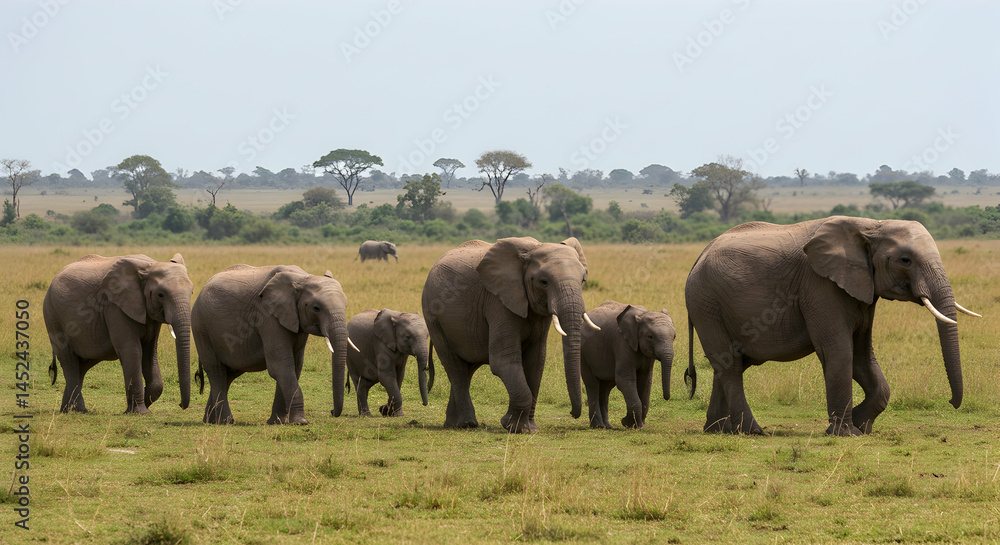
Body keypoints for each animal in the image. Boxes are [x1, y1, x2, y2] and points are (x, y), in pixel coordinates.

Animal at [43, 253, 193, 414]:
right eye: (160, 295)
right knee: (69, 361)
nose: (180, 405)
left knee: (81, 366)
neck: (150, 266)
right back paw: (76, 411)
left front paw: (139, 405)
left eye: (191, 292)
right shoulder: (114, 306)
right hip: (53, 316)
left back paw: (71, 410)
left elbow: (150, 353)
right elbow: (132, 351)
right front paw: (139, 412)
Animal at [192, 265, 350, 425]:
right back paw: (226, 421)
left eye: (345, 306)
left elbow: (295, 365)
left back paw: (210, 421)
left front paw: (277, 422)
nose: (332, 411)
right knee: (216, 370)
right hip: (201, 328)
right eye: (316, 308)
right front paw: (300, 422)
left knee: (228, 375)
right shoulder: (268, 316)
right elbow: (280, 366)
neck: (303, 278)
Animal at [421, 236, 600, 433]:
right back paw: (467, 424)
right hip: (433, 317)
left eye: (583, 280)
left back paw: (453, 424)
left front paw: (530, 429)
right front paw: (514, 427)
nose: (573, 414)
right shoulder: (498, 300)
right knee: (454, 366)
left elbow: (536, 361)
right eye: (543, 282)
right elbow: (503, 360)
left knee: (467, 368)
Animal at [580, 301, 675, 429]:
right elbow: (625, 380)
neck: (643, 315)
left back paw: (608, 426)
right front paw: (628, 423)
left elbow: (645, 381)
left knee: (606, 387)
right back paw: (598, 426)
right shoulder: (622, 343)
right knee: (592, 384)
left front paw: (639, 425)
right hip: (584, 354)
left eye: (674, 337)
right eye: (650, 337)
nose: (666, 398)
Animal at [684, 216, 979, 436]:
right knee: (730, 366)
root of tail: (698, 257)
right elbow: (839, 351)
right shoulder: (820, 286)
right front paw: (846, 433)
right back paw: (751, 431)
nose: (951, 403)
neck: (870, 225)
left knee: (729, 363)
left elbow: (862, 356)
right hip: (706, 303)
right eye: (905, 260)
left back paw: (717, 429)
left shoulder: (862, 290)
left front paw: (861, 425)